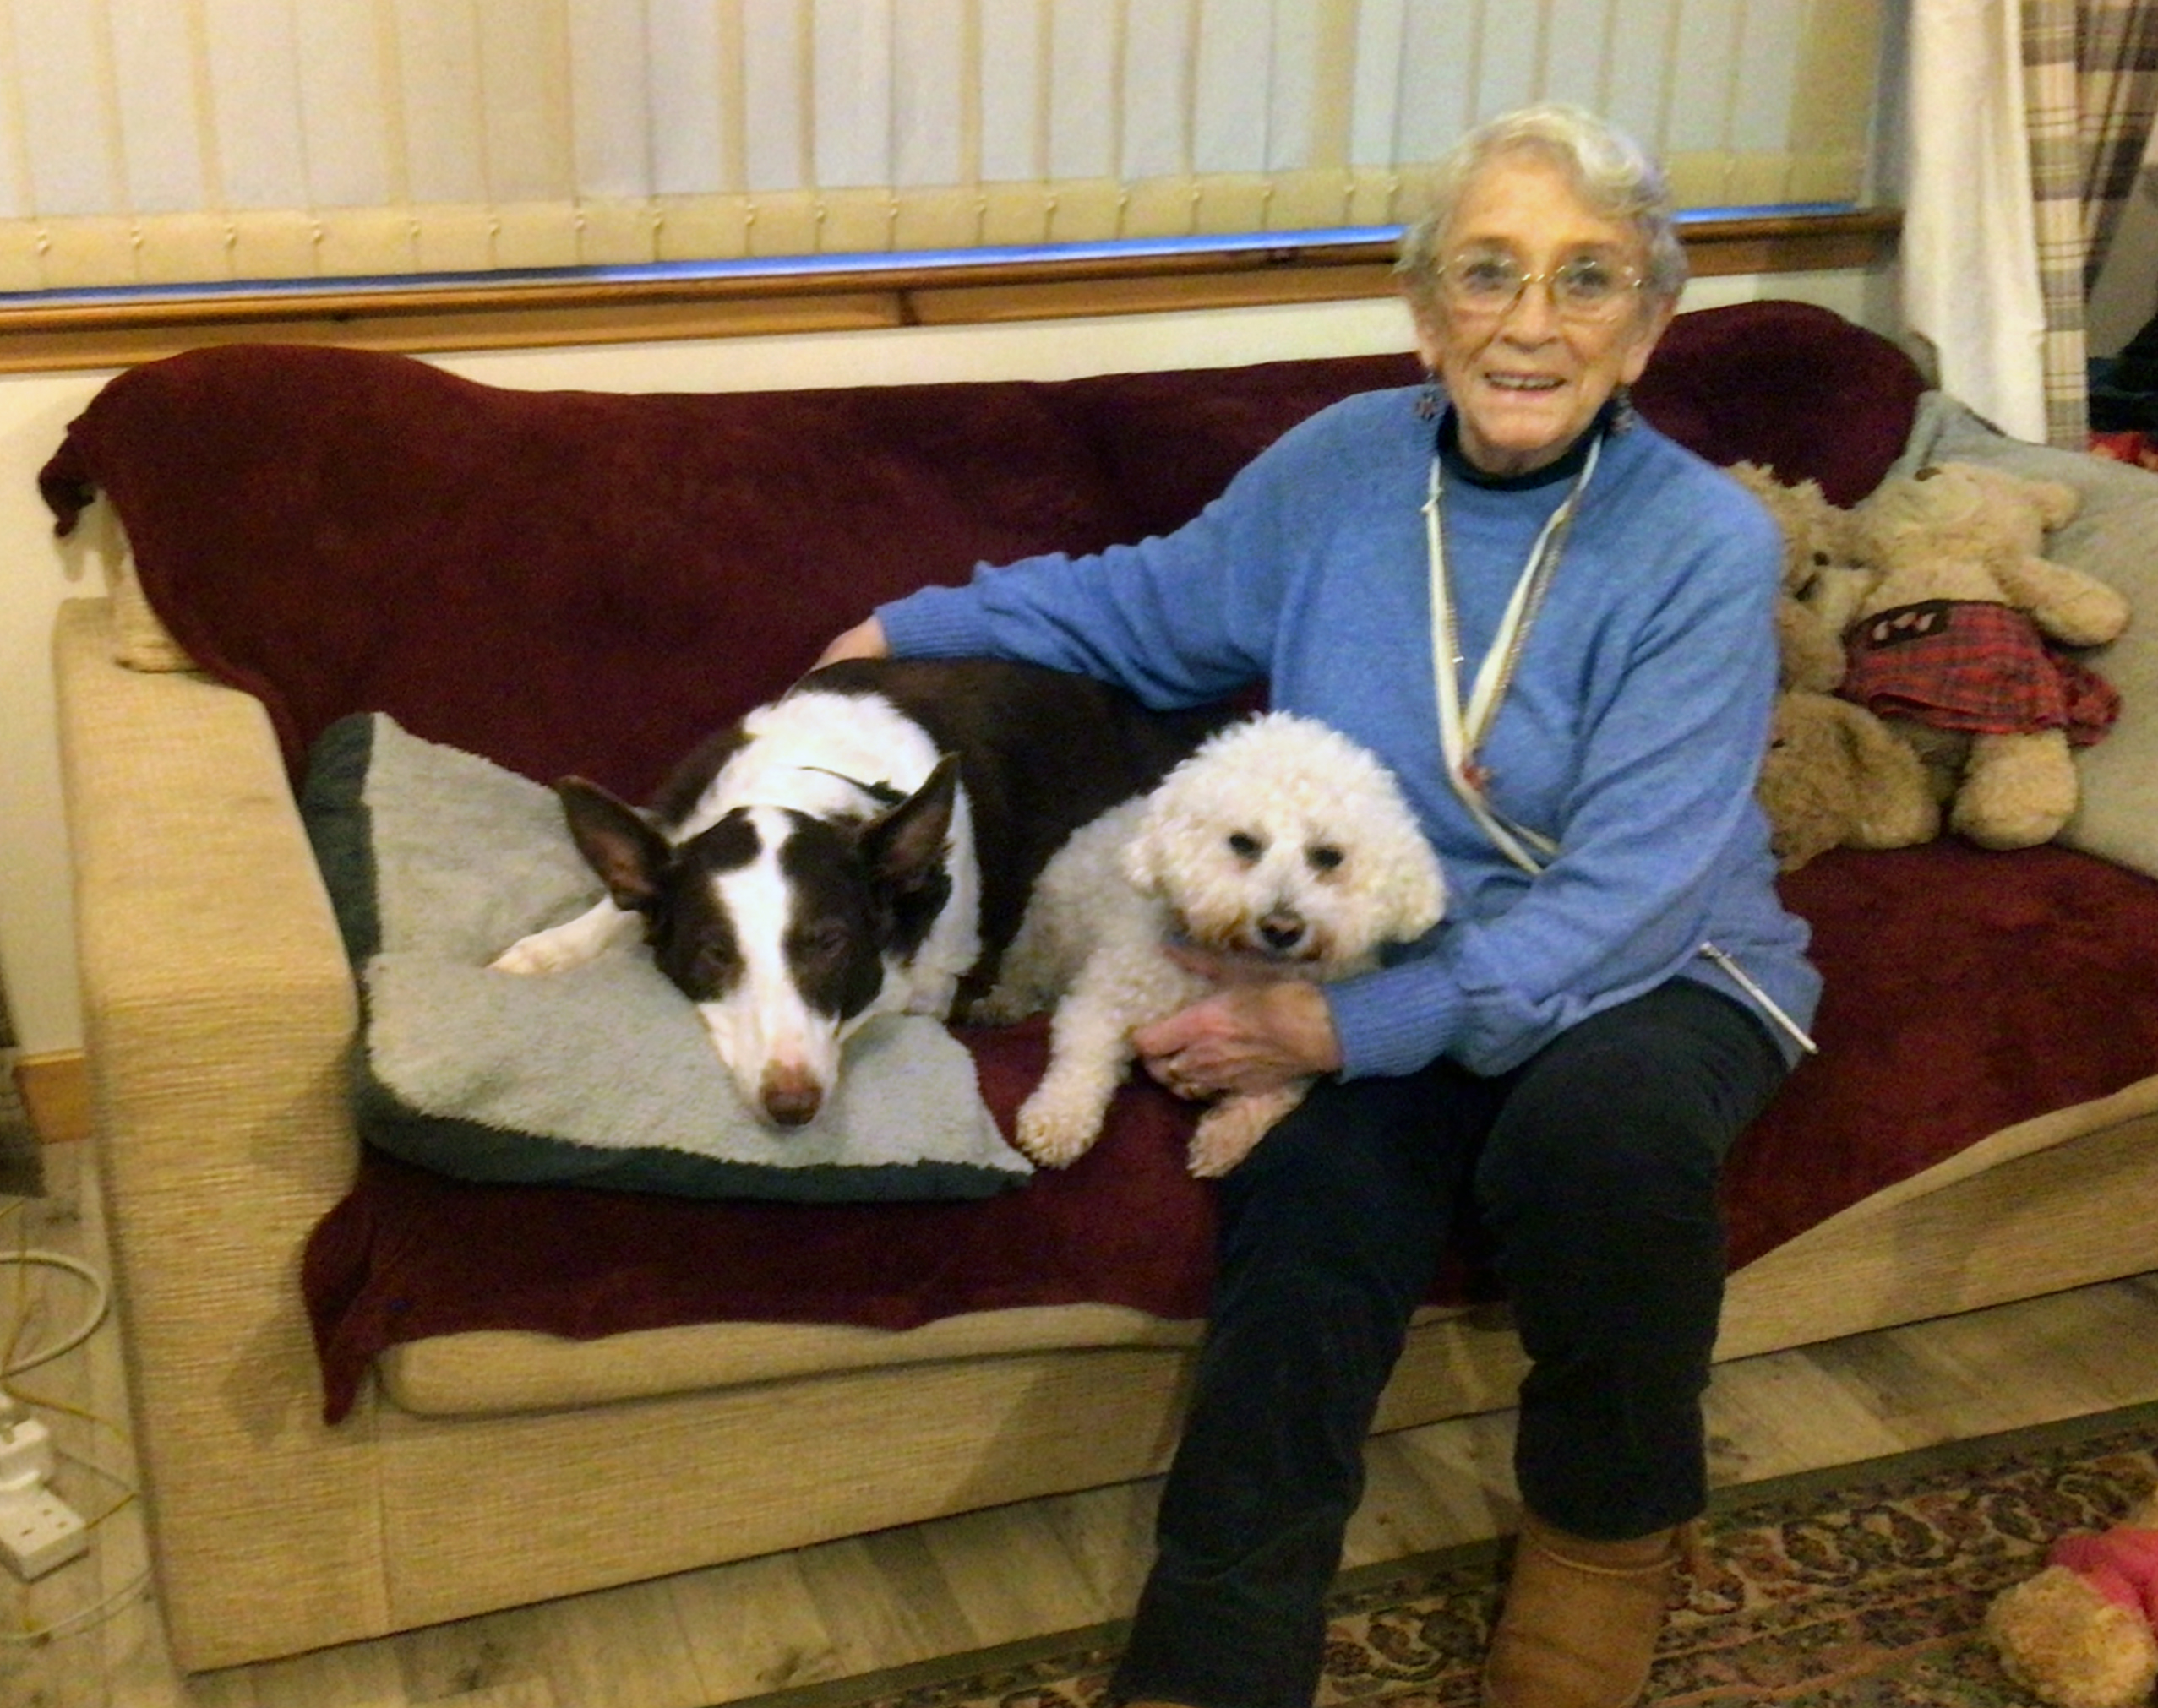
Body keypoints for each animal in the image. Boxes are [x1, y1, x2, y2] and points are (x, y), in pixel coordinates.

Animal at [493, 660, 1234, 1129]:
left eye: (830, 945)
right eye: (713, 954)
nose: (792, 1108)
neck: (808, 783)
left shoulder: (926, 980)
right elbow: (616, 906)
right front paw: (546, 950)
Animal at [984, 707, 1450, 1172]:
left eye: (1328, 856)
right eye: (1243, 843)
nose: (1282, 928)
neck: (1239, 963)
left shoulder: (1294, 1056)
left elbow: (1271, 1094)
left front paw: (1225, 1138)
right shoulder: (1104, 999)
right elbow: (1081, 1059)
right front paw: (1058, 1122)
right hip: (1049, 935)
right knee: (1023, 971)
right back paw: (1001, 1004)